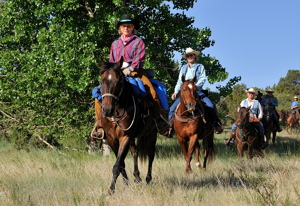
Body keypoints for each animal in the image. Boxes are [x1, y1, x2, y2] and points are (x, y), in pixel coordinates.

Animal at [99, 61, 158, 195]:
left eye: (119, 82)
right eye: (101, 81)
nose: (107, 109)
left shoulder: (125, 137)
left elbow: (117, 166)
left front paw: (111, 190)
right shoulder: (111, 139)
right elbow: (121, 164)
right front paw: (127, 184)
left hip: (152, 133)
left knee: (150, 155)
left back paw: (148, 179)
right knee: (135, 151)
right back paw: (137, 176)